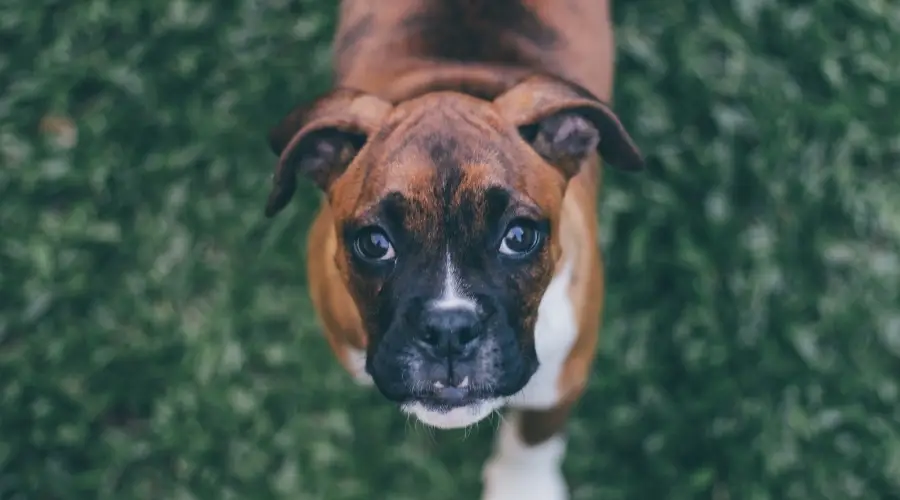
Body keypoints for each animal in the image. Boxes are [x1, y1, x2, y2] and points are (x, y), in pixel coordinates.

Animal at [264, 0, 644, 496]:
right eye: (374, 243)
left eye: (519, 237)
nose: (448, 330)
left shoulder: (563, 373)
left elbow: (533, 436)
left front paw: (522, 485)